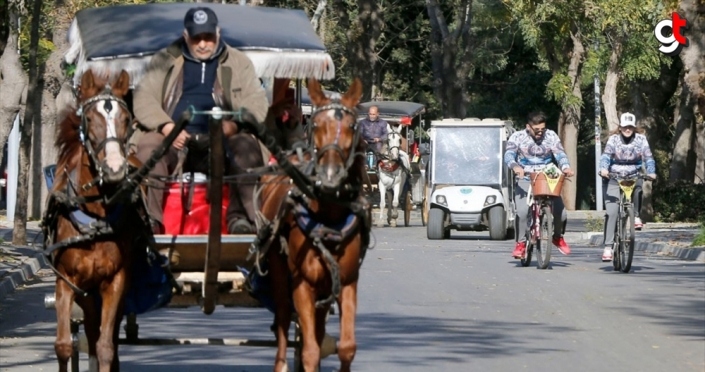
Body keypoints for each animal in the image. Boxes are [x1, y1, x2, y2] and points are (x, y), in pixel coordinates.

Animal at [45, 68, 138, 370]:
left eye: (126, 120)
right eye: (89, 119)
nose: (115, 168)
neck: (95, 218)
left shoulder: (116, 282)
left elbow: (106, 346)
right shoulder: (67, 282)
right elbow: (64, 345)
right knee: (89, 327)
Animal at [258, 77, 368, 370]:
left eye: (352, 126)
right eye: (316, 124)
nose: (330, 175)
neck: (327, 217)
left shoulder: (347, 281)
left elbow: (347, 348)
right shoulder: (303, 284)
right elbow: (309, 351)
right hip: (278, 269)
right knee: (283, 318)